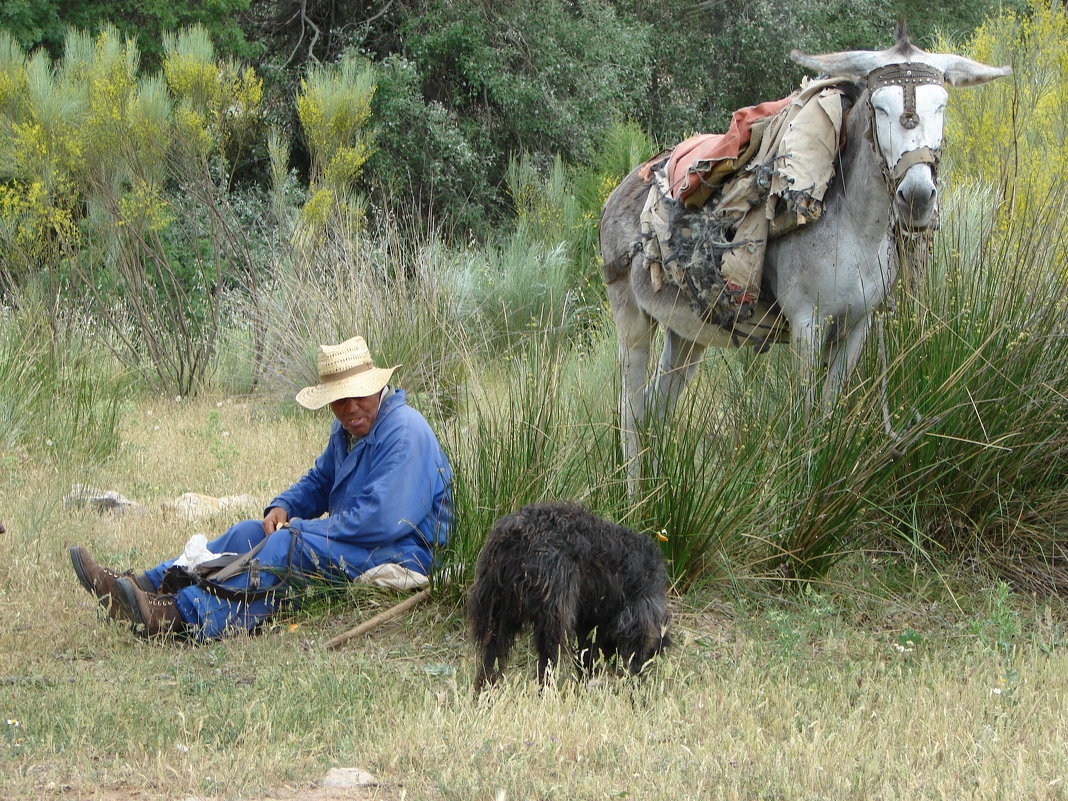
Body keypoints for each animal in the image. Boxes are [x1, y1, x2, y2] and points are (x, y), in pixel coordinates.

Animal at [467, 504, 666, 692]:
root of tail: (516, 537)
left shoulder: (587, 620)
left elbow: (586, 651)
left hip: (498, 610)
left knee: (491, 654)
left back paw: (484, 690)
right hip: (552, 614)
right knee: (547, 658)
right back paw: (545, 692)